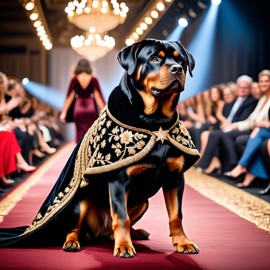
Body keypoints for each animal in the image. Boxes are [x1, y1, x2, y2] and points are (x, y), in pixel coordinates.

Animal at [62, 39, 199, 258]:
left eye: (181, 61)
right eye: (155, 58)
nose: (177, 69)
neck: (156, 122)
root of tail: (98, 232)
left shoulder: (175, 178)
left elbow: (176, 215)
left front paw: (183, 242)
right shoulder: (118, 180)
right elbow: (121, 216)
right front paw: (124, 246)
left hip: (143, 202)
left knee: (113, 230)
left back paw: (136, 233)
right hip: (81, 201)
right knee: (75, 227)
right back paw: (73, 241)